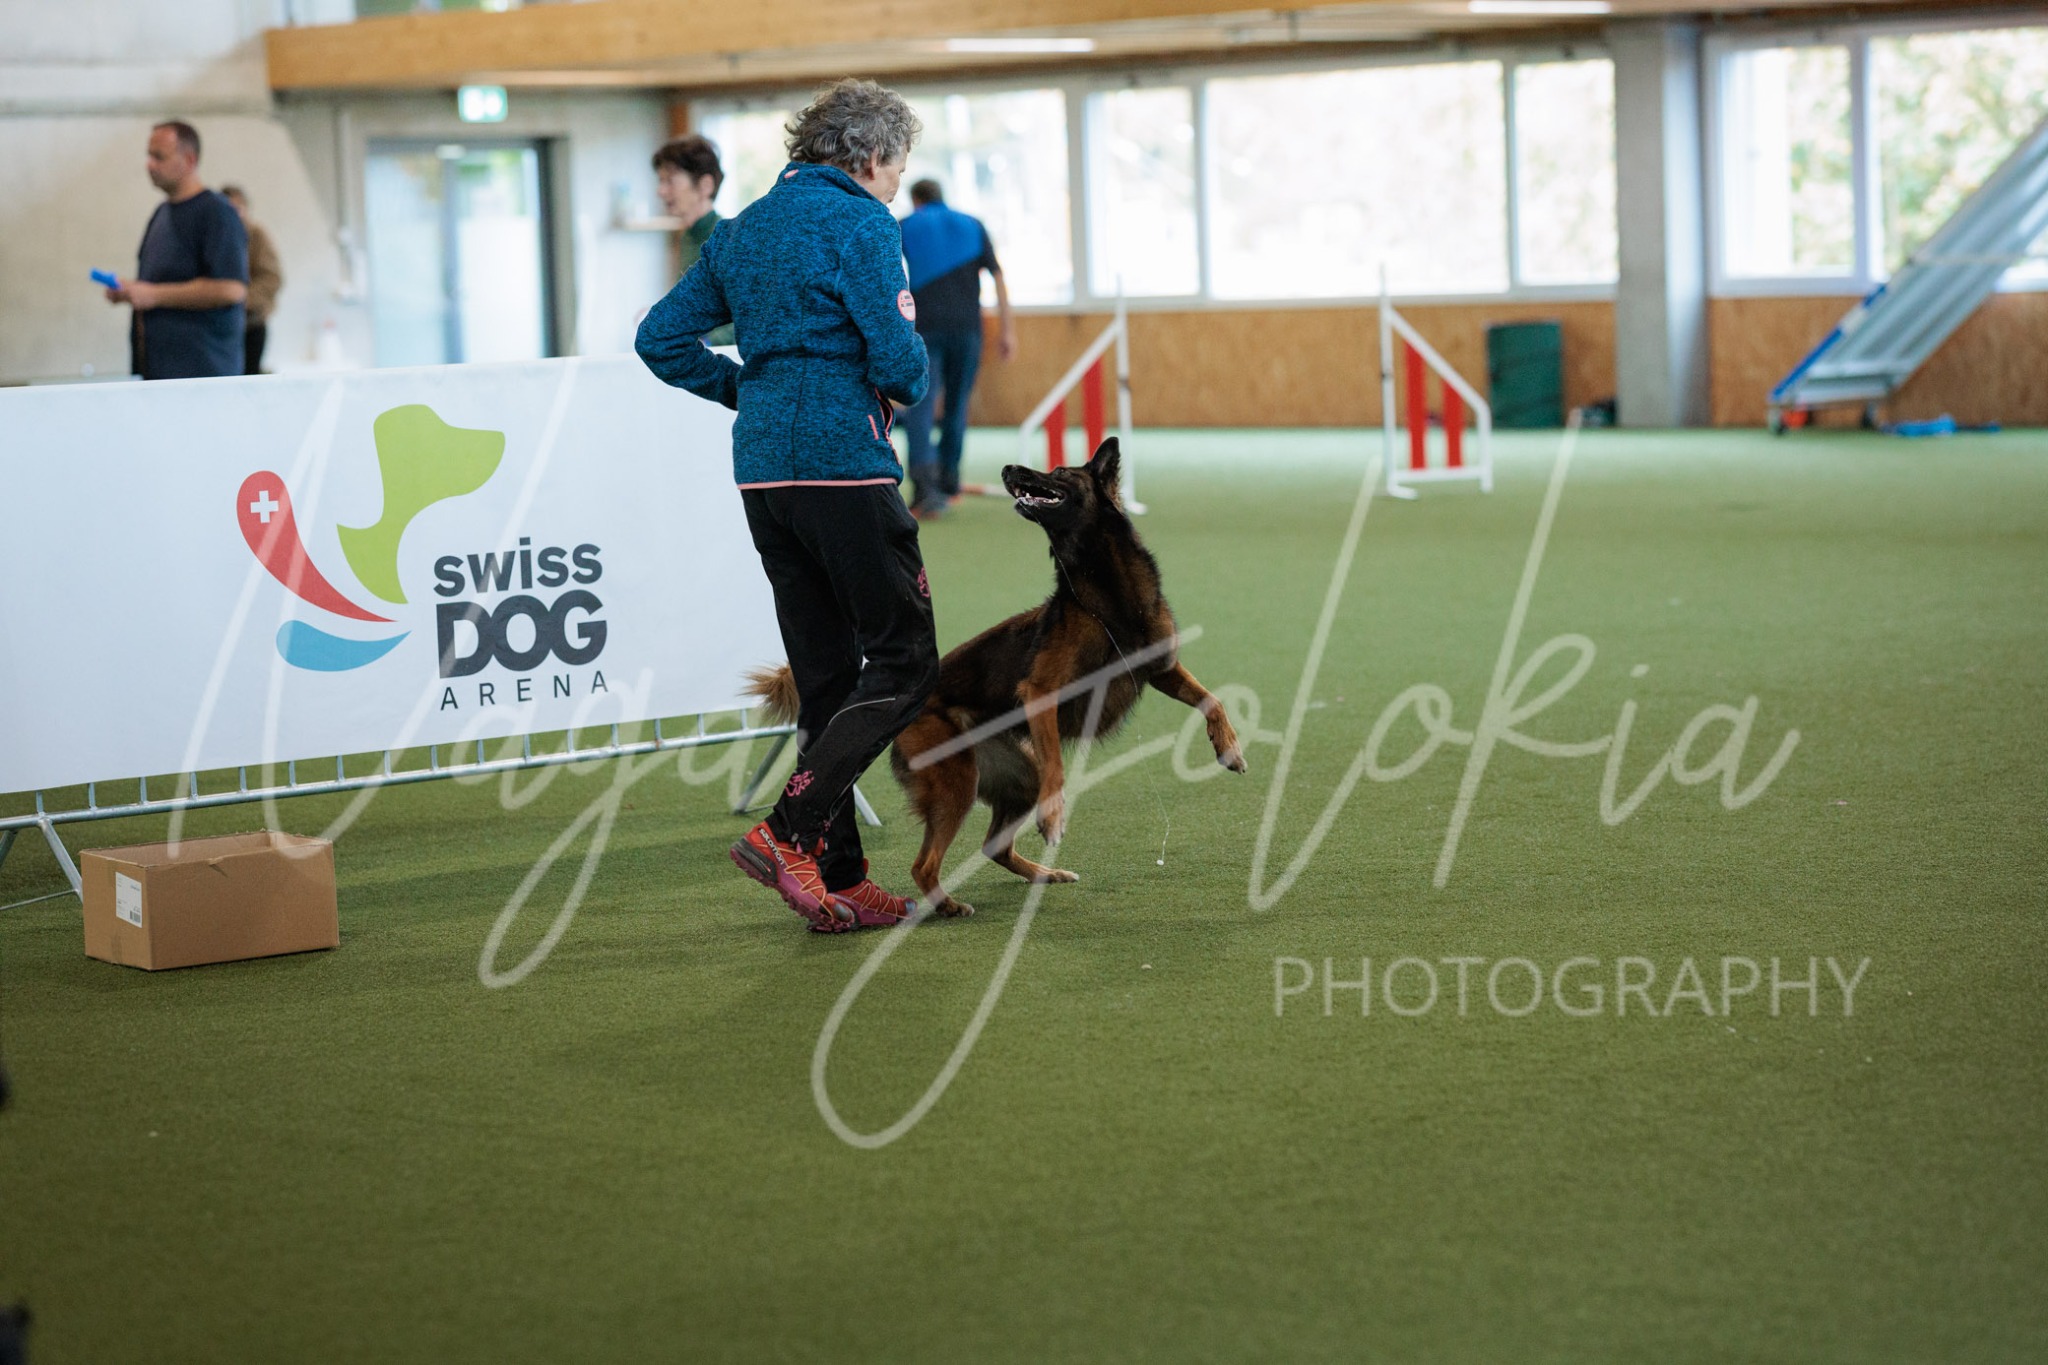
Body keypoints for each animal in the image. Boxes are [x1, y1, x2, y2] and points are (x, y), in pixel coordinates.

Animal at [749, 438, 1245, 917]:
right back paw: (946, 903)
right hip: (958, 783)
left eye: (1060, 472)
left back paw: (1046, 874)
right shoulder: (1042, 693)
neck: (1105, 590)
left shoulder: (1162, 669)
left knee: (994, 847)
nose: (1009, 469)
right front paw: (1054, 816)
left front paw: (1229, 747)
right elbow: (1058, 767)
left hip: (1016, 778)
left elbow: (1211, 699)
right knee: (925, 864)